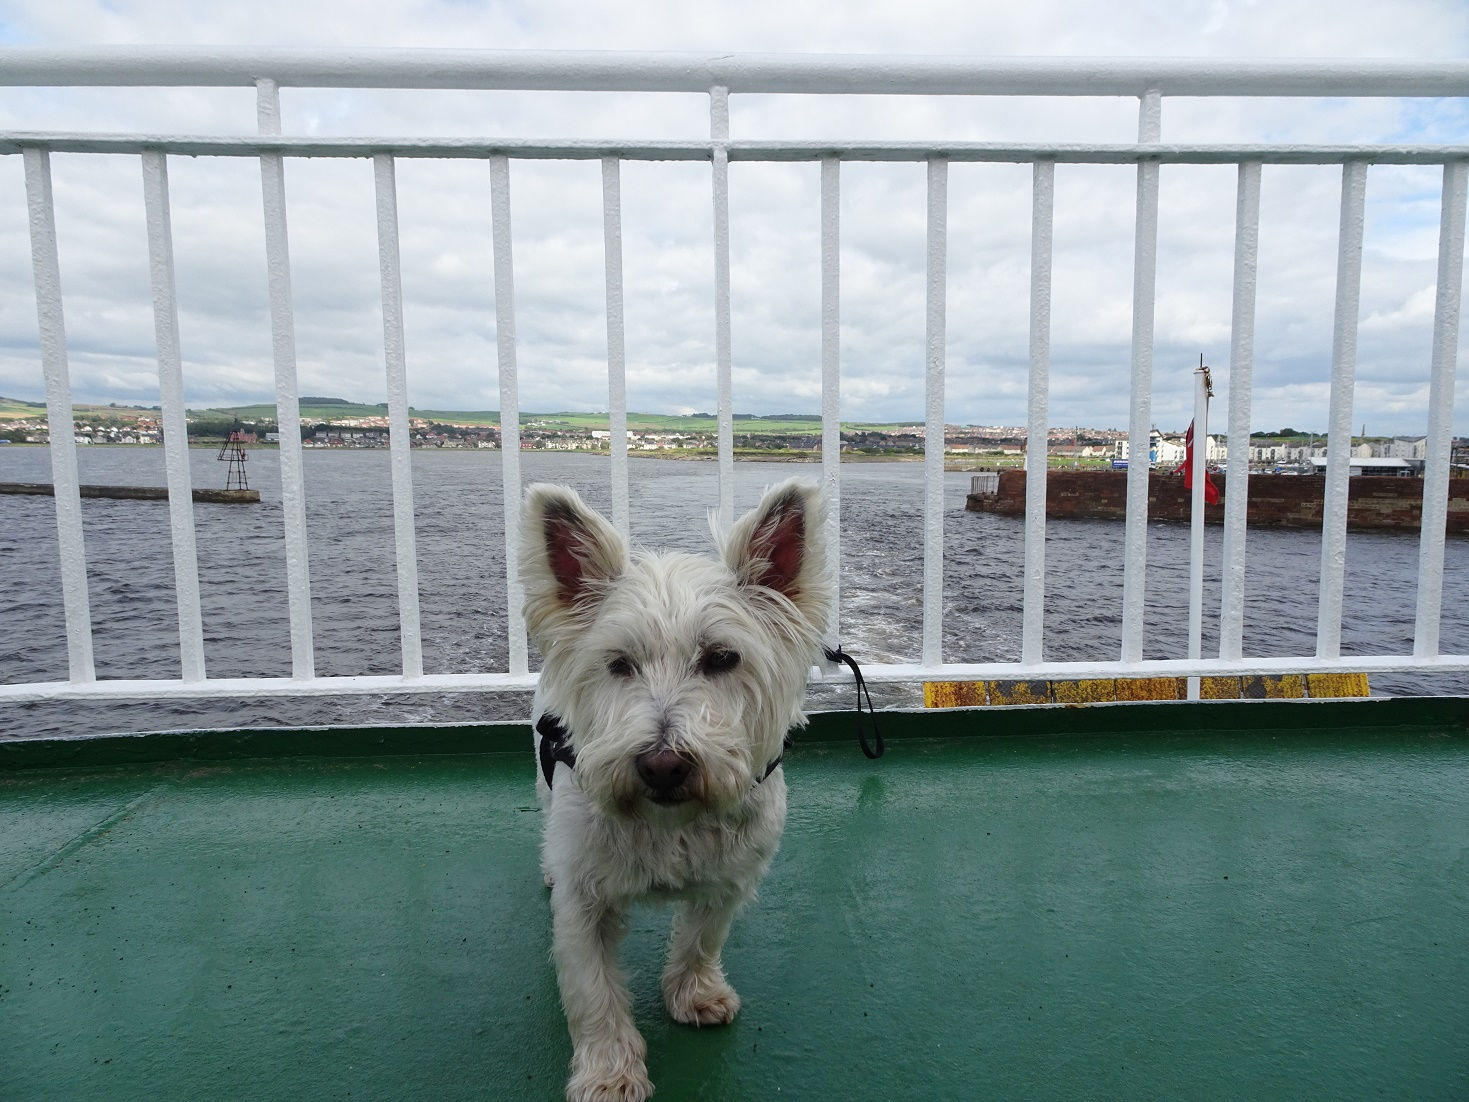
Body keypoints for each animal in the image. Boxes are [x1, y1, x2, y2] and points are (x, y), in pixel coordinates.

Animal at [522, 481, 834, 1102]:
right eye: (618, 663)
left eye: (722, 658)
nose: (662, 766)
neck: (669, 823)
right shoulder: (583, 900)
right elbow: (594, 990)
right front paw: (609, 1073)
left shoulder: (728, 879)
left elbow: (700, 939)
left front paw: (695, 995)